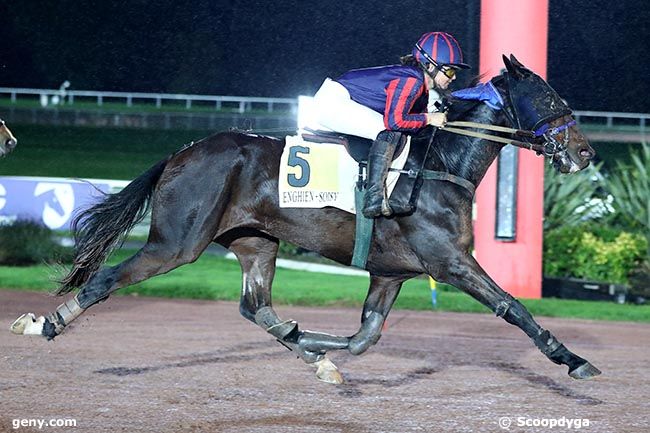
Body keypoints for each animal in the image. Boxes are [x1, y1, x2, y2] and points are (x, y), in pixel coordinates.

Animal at [11, 55, 596, 384]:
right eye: (549, 96)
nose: (585, 154)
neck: (440, 166)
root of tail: (183, 151)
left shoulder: (391, 272)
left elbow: (364, 337)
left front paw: (320, 350)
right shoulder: (450, 262)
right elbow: (513, 307)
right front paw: (571, 359)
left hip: (256, 241)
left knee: (256, 307)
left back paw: (305, 349)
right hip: (177, 242)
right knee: (107, 279)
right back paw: (44, 323)